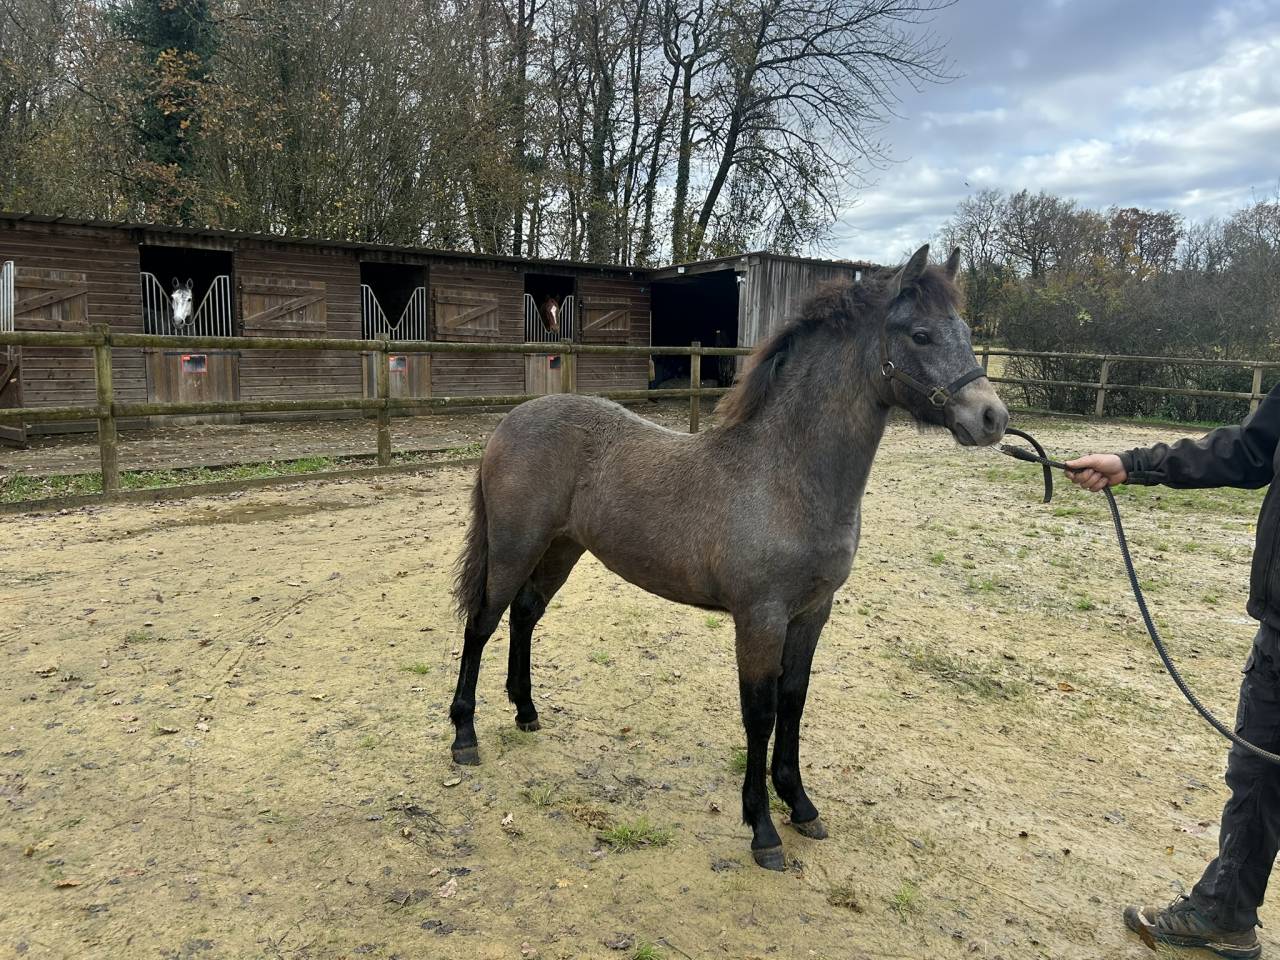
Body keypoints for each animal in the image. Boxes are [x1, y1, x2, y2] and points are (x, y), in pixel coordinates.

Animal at [448, 244, 1008, 869]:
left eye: (966, 331)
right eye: (920, 334)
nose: (992, 417)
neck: (785, 477)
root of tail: (508, 422)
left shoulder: (812, 612)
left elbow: (794, 700)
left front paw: (800, 804)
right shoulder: (759, 618)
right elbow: (759, 713)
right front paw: (762, 829)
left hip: (561, 548)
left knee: (525, 614)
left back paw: (526, 712)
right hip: (516, 544)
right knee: (482, 621)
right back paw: (464, 735)